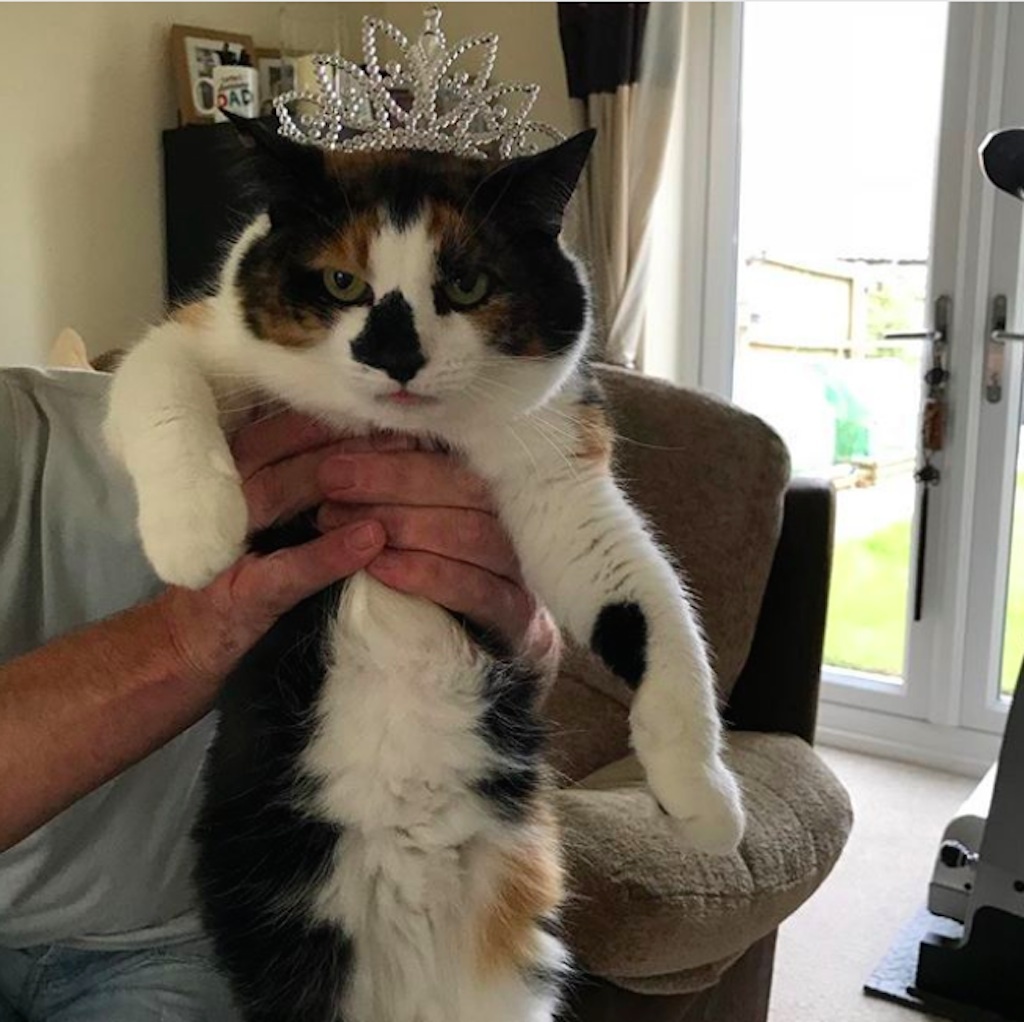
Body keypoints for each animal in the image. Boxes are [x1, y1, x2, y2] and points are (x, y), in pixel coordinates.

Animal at [101, 121, 745, 1022]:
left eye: (467, 284)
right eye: (342, 281)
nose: (394, 355)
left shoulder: (560, 478)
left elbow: (650, 608)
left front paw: (704, 794)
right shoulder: (200, 337)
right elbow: (155, 377)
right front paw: (195, 529)